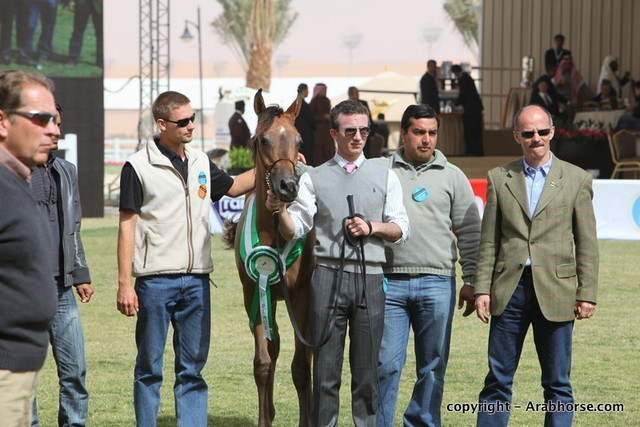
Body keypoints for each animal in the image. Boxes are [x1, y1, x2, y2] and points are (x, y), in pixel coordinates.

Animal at [224, 89, 315, 427]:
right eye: (262, 140)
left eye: (299, 140)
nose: (287, 187)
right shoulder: (254, 292)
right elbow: (263, 362)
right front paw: (266, 417)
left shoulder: (301, 295)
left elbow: (301, 367)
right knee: (274, 351)